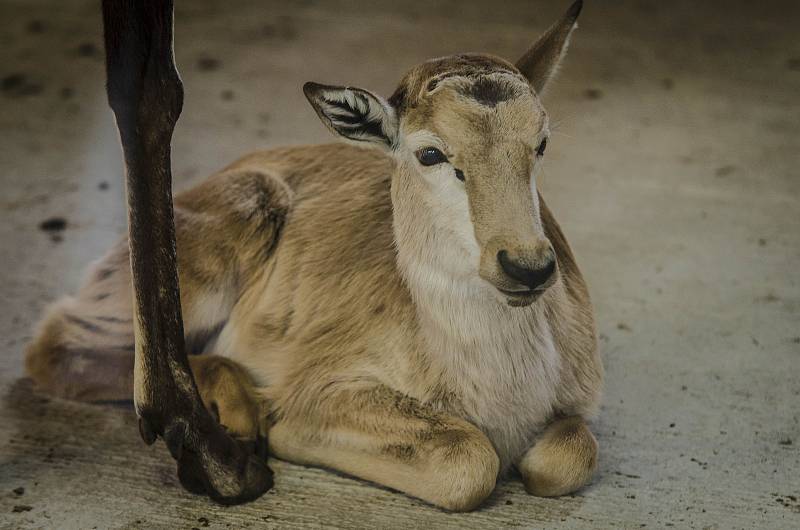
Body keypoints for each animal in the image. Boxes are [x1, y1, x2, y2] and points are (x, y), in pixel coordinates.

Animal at [25, 1, 600, 512]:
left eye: (541, 143)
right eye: (431, 152)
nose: (527, 266)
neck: (498, 391)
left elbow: (571, 455)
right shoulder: (328, 387)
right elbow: (468, 459)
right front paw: (273, 429)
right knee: (55, 345)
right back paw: (237, 426)